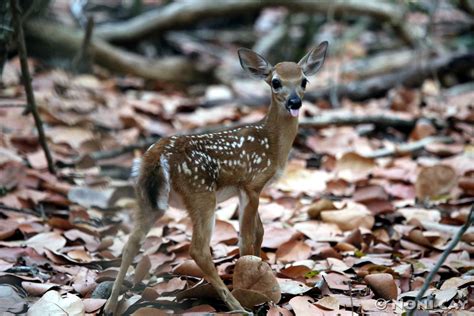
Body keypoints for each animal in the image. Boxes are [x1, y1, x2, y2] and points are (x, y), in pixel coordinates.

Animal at [103, 41, 326, 314]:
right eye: (275, 82)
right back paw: (237, 305)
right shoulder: (252, 182)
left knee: (131, 242)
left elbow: (260, 232)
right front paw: (253, 286)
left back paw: (110, 305)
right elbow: (248, 238)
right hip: (200, 193)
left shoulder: (246, 189)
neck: (273, 144)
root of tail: (157, 155)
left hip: (147, 198)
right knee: (198, 249)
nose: (295, 102)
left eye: (304, 80)